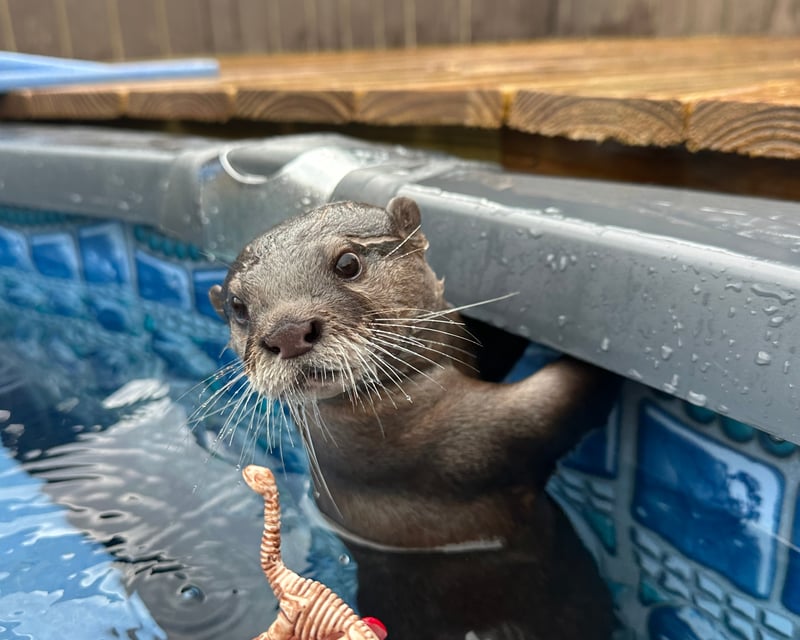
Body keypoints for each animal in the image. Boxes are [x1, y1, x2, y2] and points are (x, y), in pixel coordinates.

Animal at [209, 197, 619, 639]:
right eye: (239, 308)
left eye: (348, 263)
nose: (287, 331)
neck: (381, 424)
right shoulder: (457, 447)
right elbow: (557, 406)